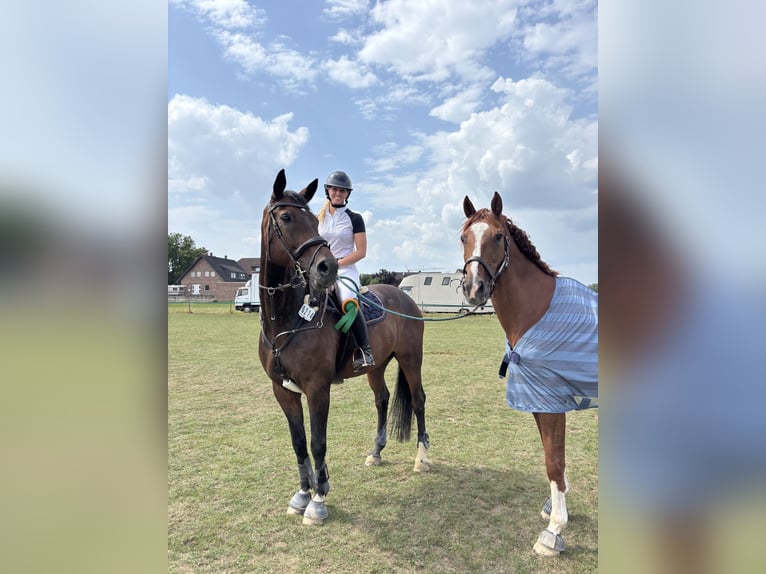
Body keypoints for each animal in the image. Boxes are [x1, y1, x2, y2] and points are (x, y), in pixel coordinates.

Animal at [258, 169, 431, 526]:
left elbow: (318, 443)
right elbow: (299, 443)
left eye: (313, 219)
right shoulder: (282, 390)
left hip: (411, 359)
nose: (328, 268)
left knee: (419, 400)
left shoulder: (317, 388)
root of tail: (404, 297)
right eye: (286, 217)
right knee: (382, 400)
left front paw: (318, 499)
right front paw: (302, 494)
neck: (284, 321)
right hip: (376, 366)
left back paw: (422, 459)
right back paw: (376, 452)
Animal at [460, 192, 598, 557]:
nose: (474, 288)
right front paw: (554, 508)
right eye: (463, 237)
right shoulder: (539, 401)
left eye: (498, 236)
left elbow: (554, 461)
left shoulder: (552, 402)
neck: (537, 309)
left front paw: (554, 532)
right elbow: (551, 458)